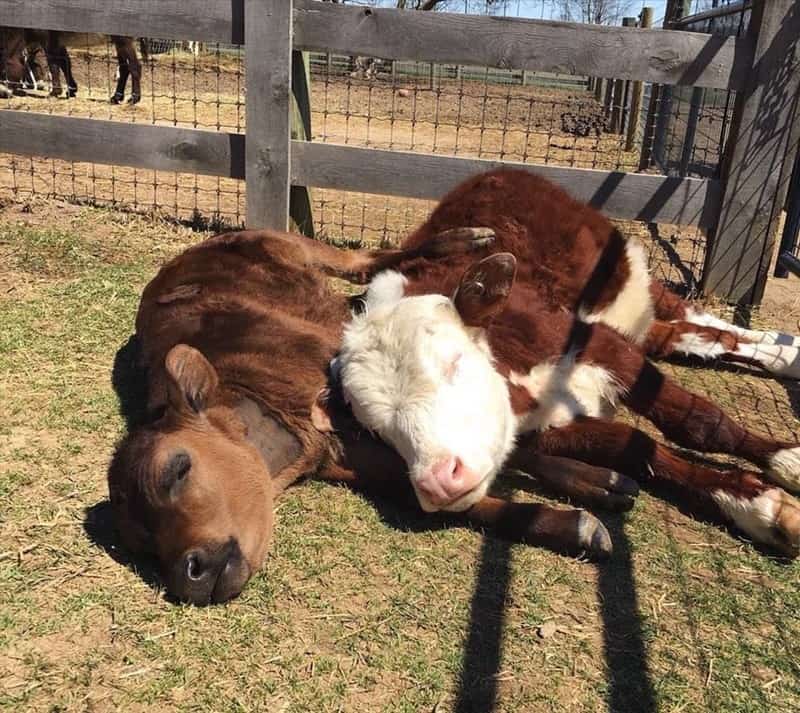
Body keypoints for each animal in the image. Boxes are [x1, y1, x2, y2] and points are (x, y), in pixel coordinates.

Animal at [108, 228, 617, 605]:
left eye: (177, 469)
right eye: (142, 544)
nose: (188, 574)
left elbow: (514, 446)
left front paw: (600, 481)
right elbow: (461, 501)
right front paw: (578, 520)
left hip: (289, 243)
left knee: (362, 259)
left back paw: (467, 239)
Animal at [327, 169, 800, 559]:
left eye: (453, 362)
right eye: (376, 430)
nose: (438, 481)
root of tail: (495, 174)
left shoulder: (601, 344)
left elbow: (700, 423)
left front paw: (776, 477)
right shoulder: (547, 429)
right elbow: (634, 445)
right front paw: (757, 506)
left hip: (628, 278)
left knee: (698, 318)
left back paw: (785, 353)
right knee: (689, 336)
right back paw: (784, 354)